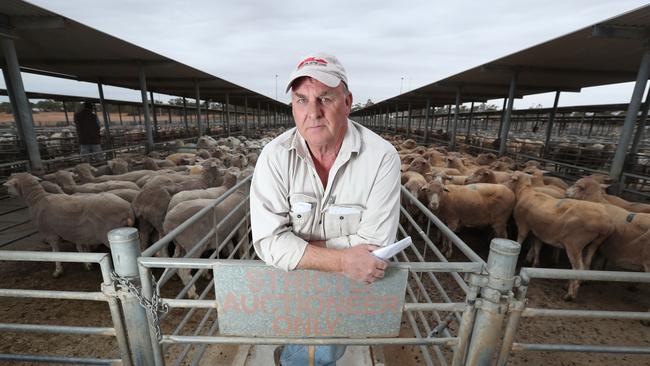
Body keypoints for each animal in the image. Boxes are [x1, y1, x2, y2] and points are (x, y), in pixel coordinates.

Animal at [3, 174, 135, 278]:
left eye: (9, 185)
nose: (8, 194)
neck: (37, 199)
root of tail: (126, 209)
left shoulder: (51, 234)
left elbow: (55, 253)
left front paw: (58, 271)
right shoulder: (76, 232)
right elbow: (80, 248)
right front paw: (87, 264)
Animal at [508, 172, 612, 300]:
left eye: (511, 178)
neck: (524, 192)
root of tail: (603, 224)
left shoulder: (523, 225)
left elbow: (520, 241)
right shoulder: (538, 231)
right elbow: (537, 246)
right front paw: (535, 264)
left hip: (574, 244)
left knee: (578, 268)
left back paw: (570, 295)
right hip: (593, 244)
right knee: (586, 264)